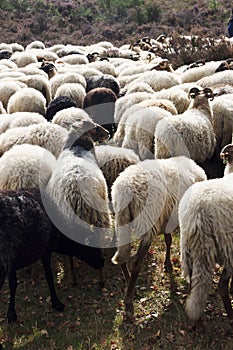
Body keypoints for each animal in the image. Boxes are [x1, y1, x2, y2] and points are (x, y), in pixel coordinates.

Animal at [112, 156, 207, 314]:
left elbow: (168, 240)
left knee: (123, 255)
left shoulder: (167, 219)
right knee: (136, 262)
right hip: (147, 221)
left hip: (121, 220)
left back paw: (128, 284)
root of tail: (126, 190)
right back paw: (129, 300)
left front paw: (168, 264)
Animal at [178, 143, 233, 328]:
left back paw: (197, 323)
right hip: (226, 247)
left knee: (194, 285)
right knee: (221, 286)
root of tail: (198, 213)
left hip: (189, 248)